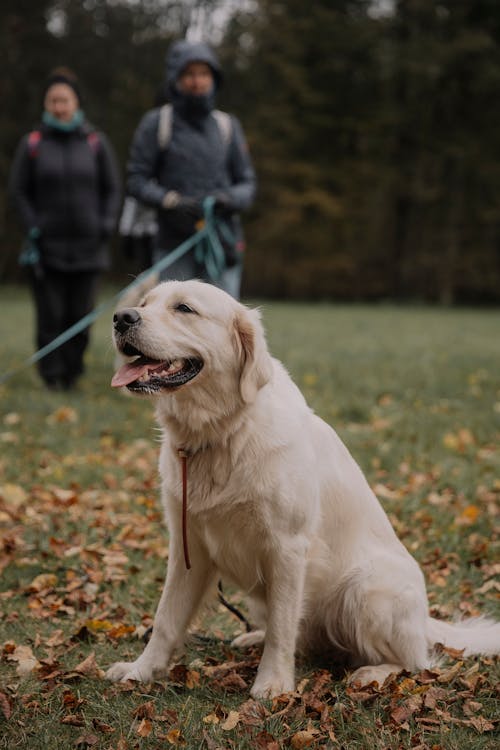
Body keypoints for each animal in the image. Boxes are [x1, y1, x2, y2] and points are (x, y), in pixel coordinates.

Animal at [106, 280, 500, 704]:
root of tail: (425, 621)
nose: (122, 317)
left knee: (416, 663)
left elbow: (283, 627)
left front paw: (273, 683)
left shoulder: (287, 546)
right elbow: (166, 618)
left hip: (364, 589)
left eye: (184, 308)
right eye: (144, 303)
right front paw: (140, 670)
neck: (224, 431)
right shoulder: (187, 546)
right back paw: (253, 638)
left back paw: (372, 673)